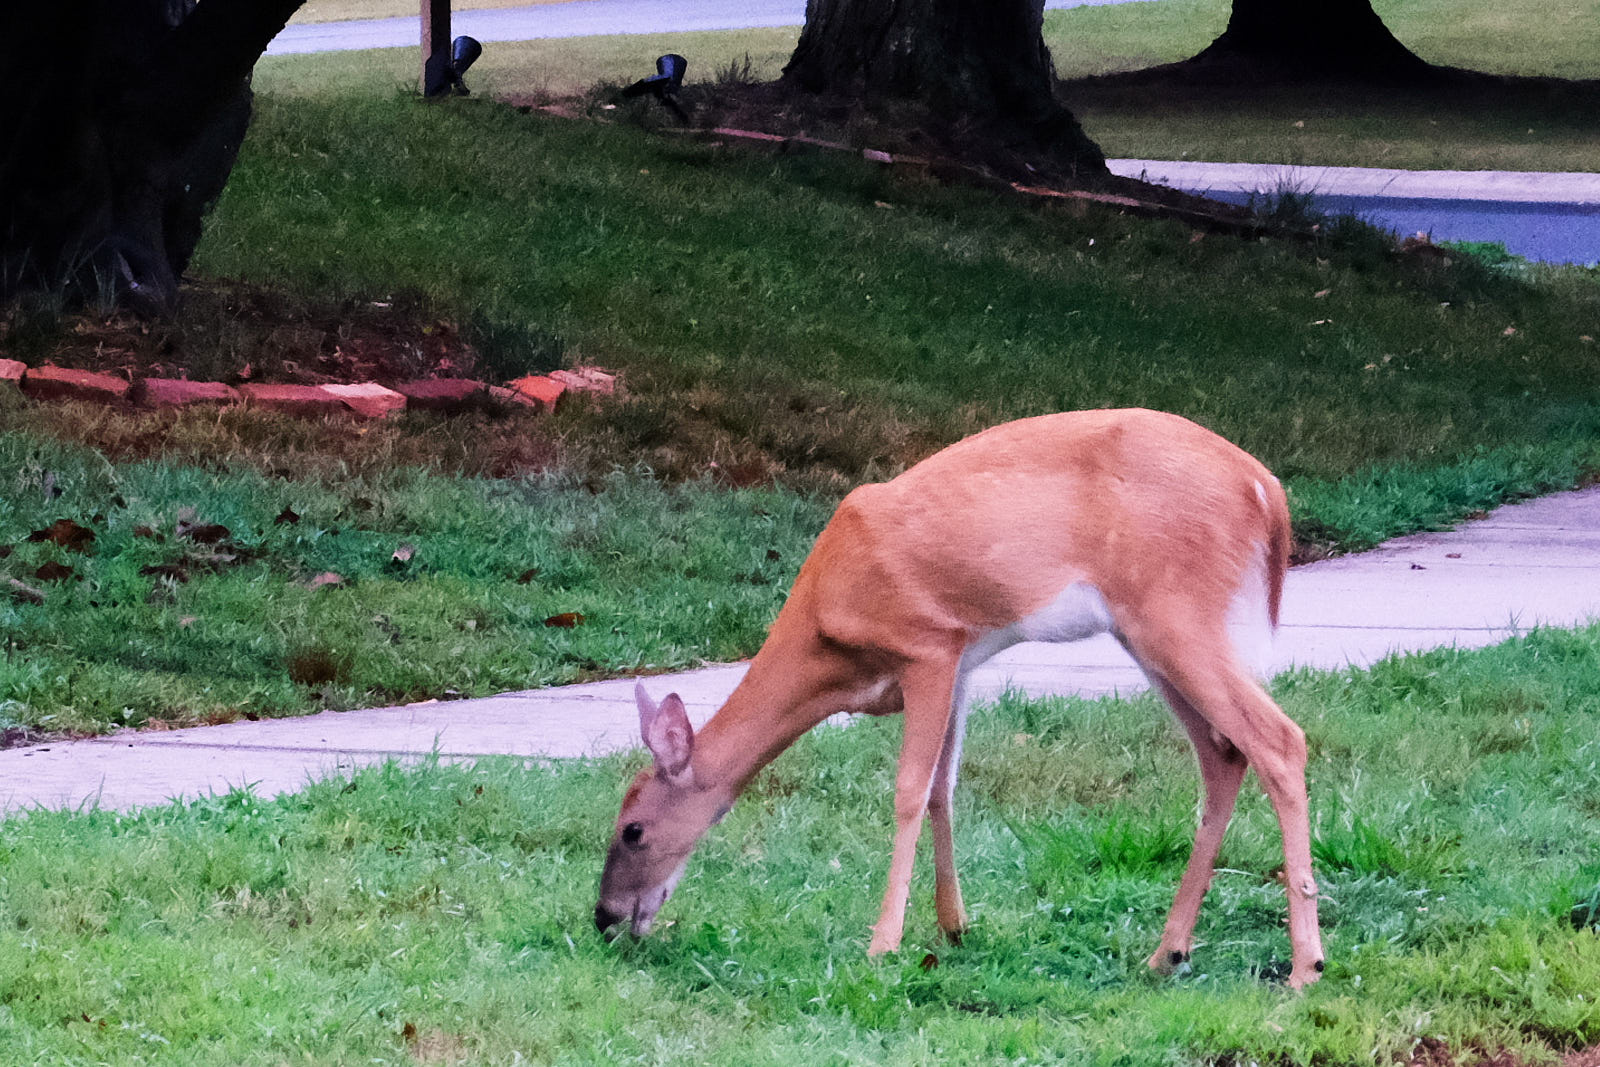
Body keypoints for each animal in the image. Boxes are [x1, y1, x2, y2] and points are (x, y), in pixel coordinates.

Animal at [598, 412, 1324, 991]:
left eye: (632, 828)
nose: (604, 917)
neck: (830, 633)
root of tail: (1267, 489)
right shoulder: (965, 660)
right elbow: (944, 787)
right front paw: (953, 925)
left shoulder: (927, 645)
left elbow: (909, 790)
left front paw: (883, 941)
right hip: (1149, 631)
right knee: (1222, 754)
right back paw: (1167, 952)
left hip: (1174, 607)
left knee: (1279, 739)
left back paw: (1304, 966)